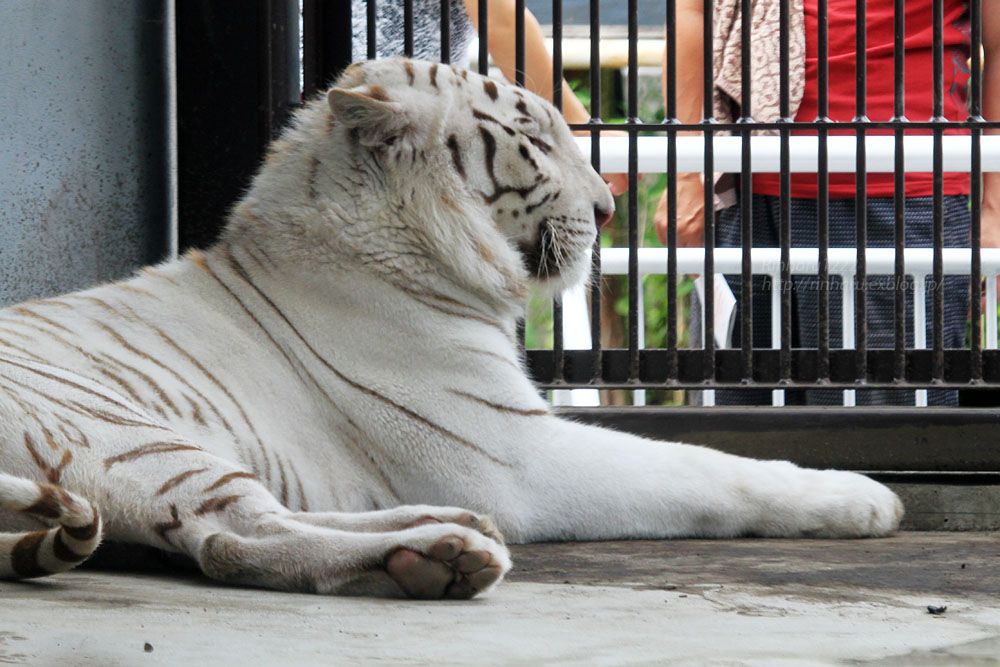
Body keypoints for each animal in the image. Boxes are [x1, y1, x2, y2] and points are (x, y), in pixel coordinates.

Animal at [0, 58, 908, 600]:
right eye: (536, 140)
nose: (609, 207)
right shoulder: (512, 451)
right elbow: (707, 466)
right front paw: (861, 497)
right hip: (125, 433)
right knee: (233, 535)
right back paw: (439, 553)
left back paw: (445, 531)